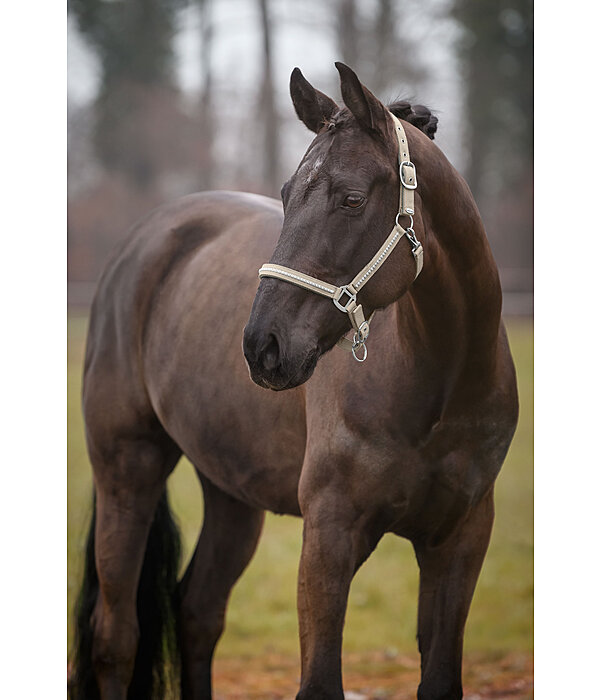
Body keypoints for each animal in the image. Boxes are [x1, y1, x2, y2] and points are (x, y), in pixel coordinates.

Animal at [70, 61, 516, 700]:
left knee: (198, 612)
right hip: (127, 470)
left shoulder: (460, 538)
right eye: (285, 194)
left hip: (231, 494)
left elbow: (439, 678)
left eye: (351, 199)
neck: (443, 389)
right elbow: (320, 681)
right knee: (116, 638)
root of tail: (144, 239)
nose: (263, 346)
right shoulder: (330, 534)